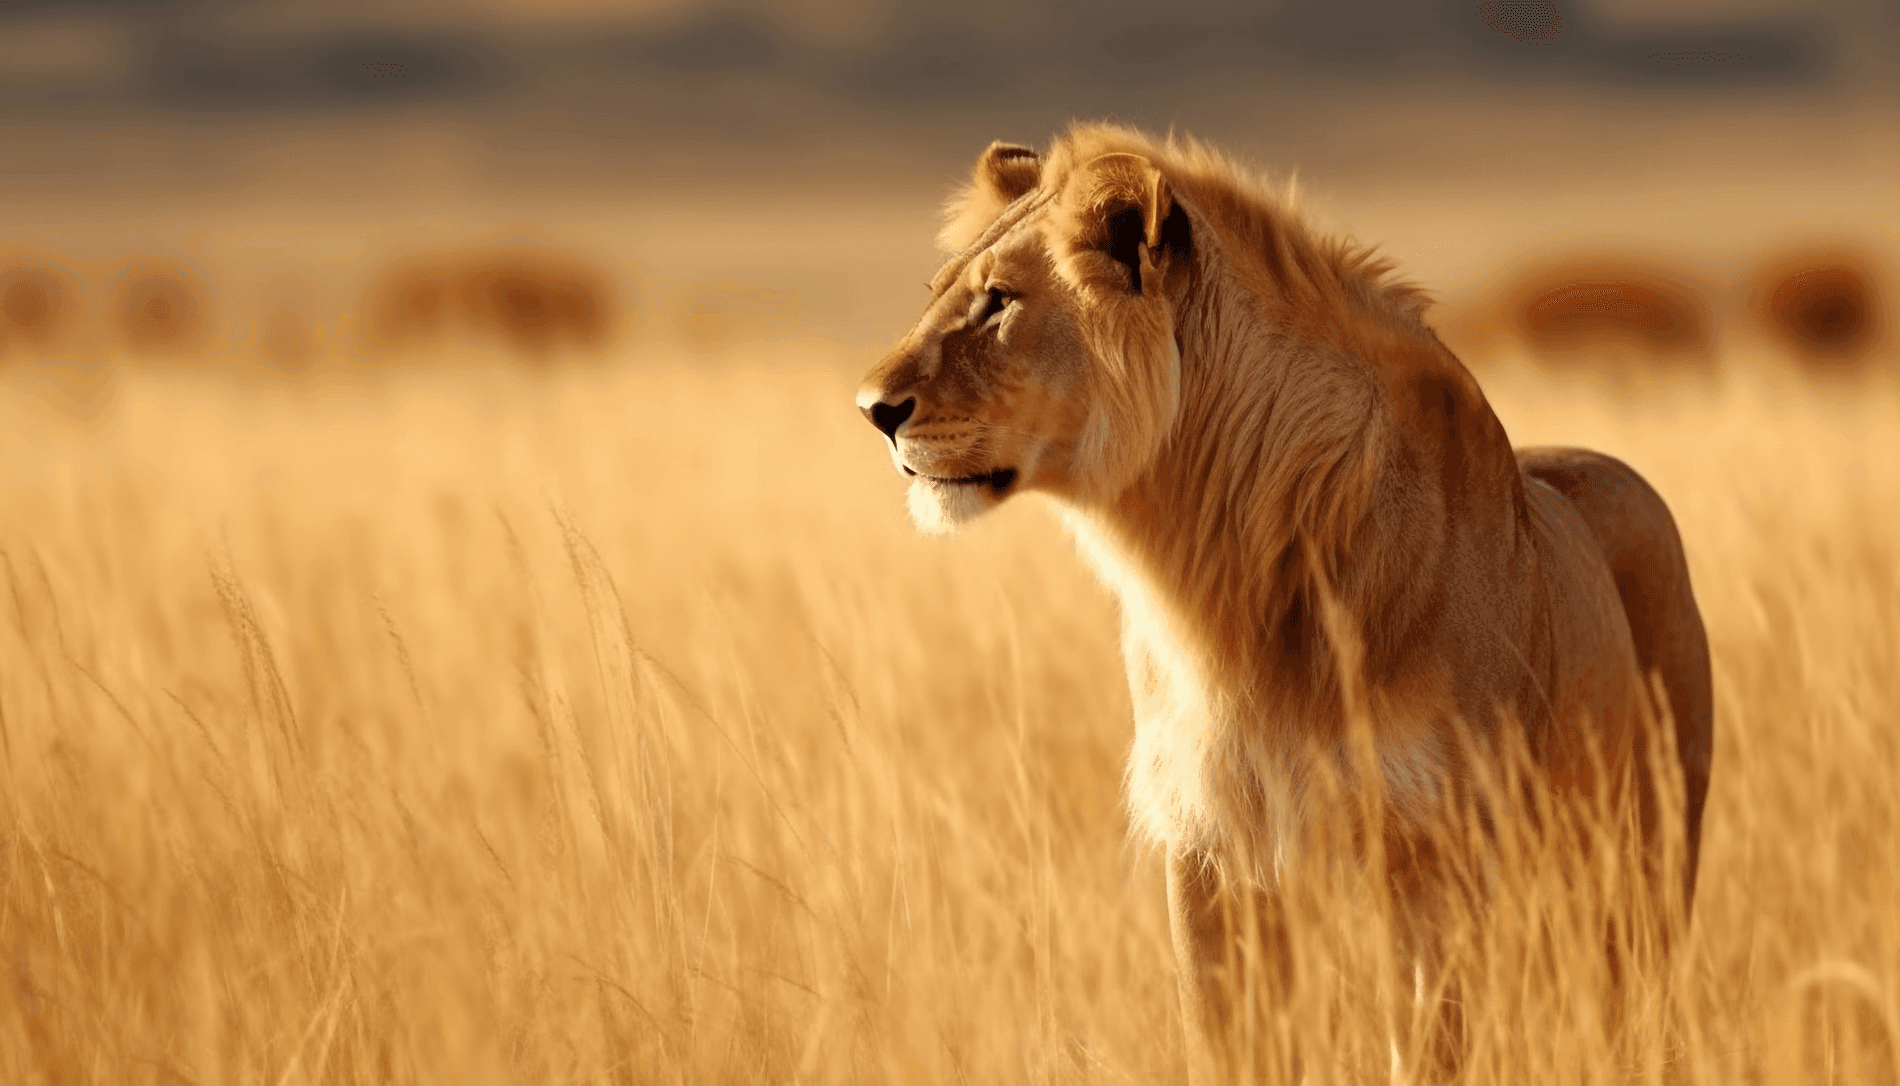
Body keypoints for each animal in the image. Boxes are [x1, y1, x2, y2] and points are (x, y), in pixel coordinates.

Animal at [855, 124, 1713, 1079]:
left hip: (1642, 866)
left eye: (999, 301)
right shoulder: (1205, 842)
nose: (872, 409)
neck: (1216, 582)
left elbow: (1428, 1051)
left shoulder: (1433, 848)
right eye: (938, 294)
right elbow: (1225, 1047)